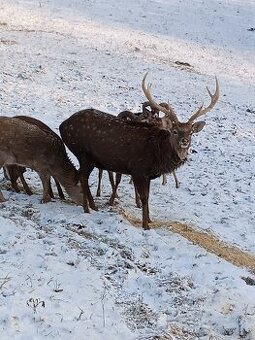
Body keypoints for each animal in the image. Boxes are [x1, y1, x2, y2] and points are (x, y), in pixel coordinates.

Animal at [59, 73, 219, 230]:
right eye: (174, 131)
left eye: (190, 132)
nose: (184, 141)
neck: (158, 155)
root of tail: (63, 125)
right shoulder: (138, 169)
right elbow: (144, 197)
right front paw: (145, 225)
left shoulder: (147, 175)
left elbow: (148, 197)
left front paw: (149, 220)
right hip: (83, 153)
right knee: (82, 177)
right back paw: (87, 208)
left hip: (89, 158)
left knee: (81, 176)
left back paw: (92, 206)